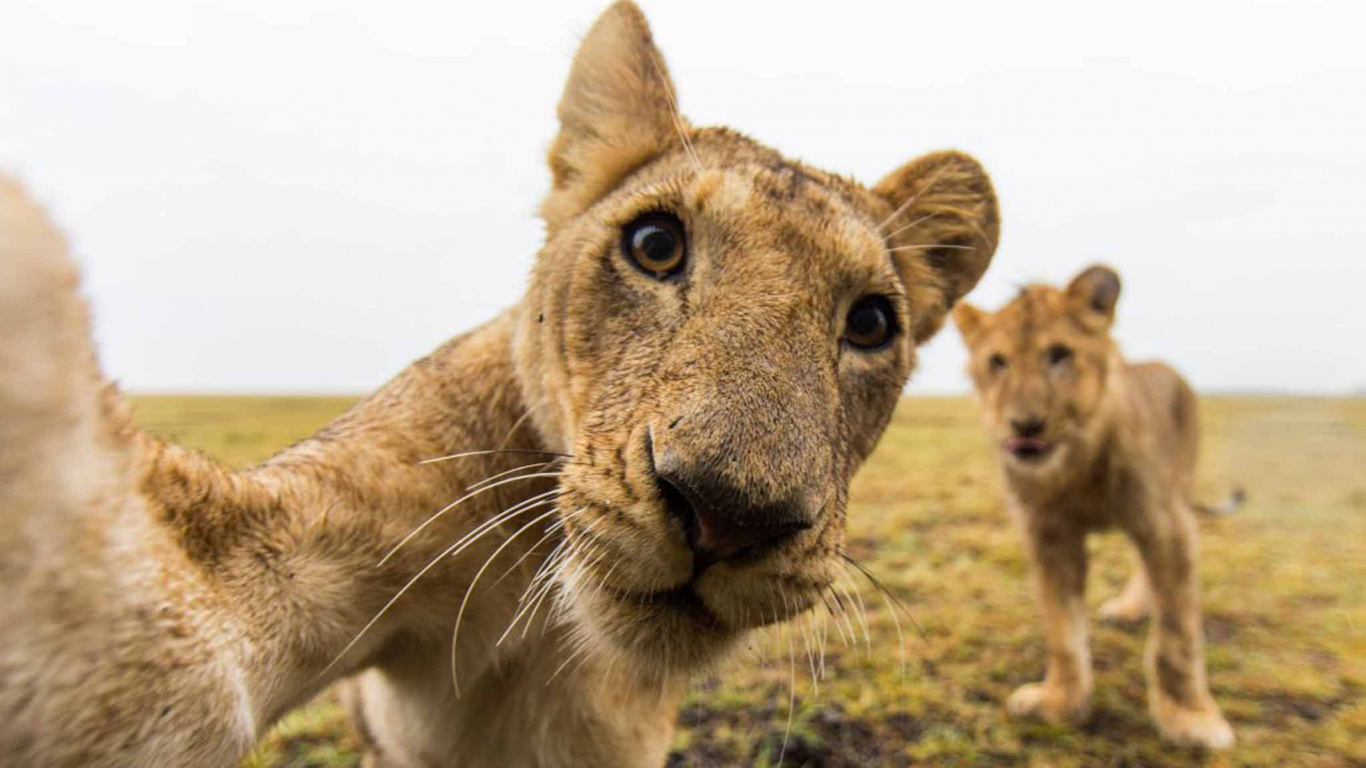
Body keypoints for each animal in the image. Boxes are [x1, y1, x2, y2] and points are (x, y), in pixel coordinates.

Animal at [952, 265, 1236, 749]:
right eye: (998, 361)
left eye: (1060, 355)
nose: (1026, 426)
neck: (1074, 466)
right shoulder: (1048, 535)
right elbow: (1063, 629)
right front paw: (1061, 702)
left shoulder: (1165, 523)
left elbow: (1176, 633)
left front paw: (1190, 717)